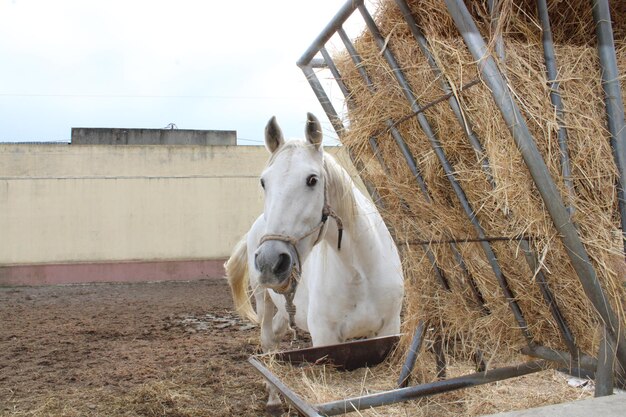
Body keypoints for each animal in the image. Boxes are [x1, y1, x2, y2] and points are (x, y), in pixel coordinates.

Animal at [224, 111, 404, 412]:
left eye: (312, 180)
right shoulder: (325, 339)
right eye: (264, 182)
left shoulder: (388, 330)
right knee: (268, 344)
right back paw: (274, 399)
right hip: (263, 300)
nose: (271, 262)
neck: (361, 273)